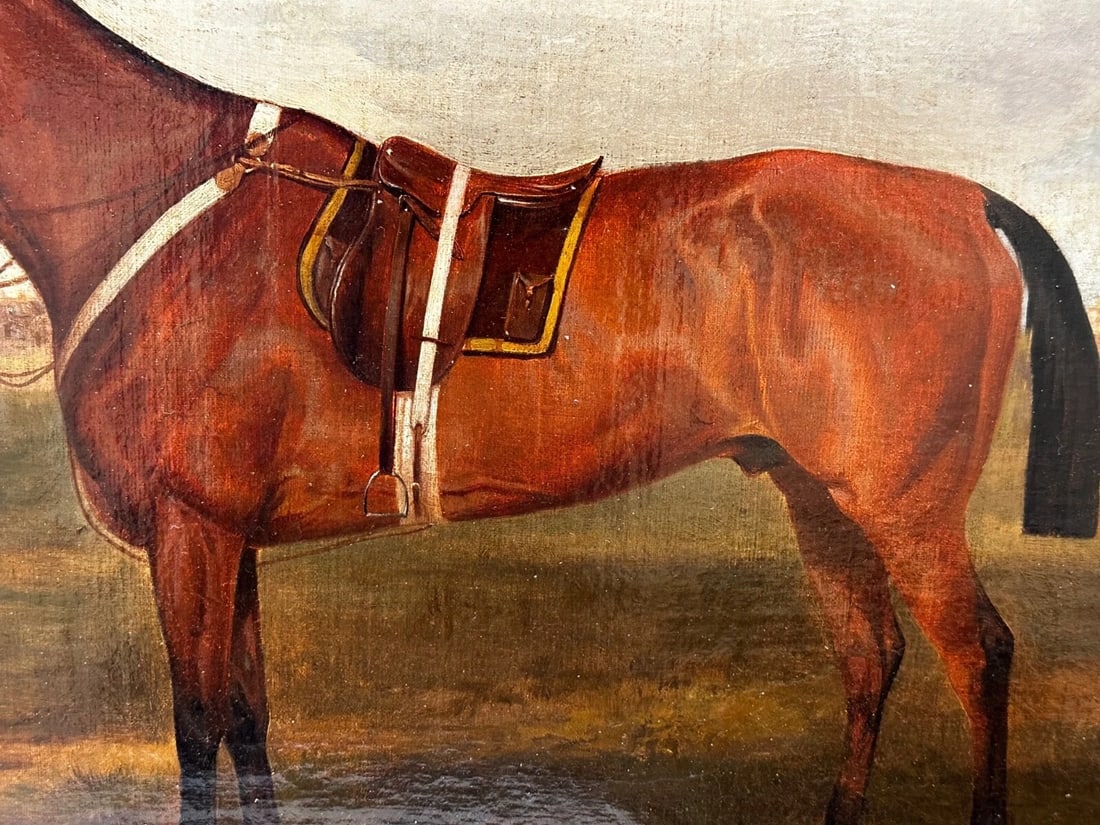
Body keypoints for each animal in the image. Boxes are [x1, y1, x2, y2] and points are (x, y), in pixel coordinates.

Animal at [2, 2, 1097, 824]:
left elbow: (196, 732)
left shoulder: (191, 529)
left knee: (978, 655)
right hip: (818, 495)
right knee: (870, 657)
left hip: (904, 506)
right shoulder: (226, 537)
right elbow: (245, 723)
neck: (165, 197)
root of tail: (967, 201)